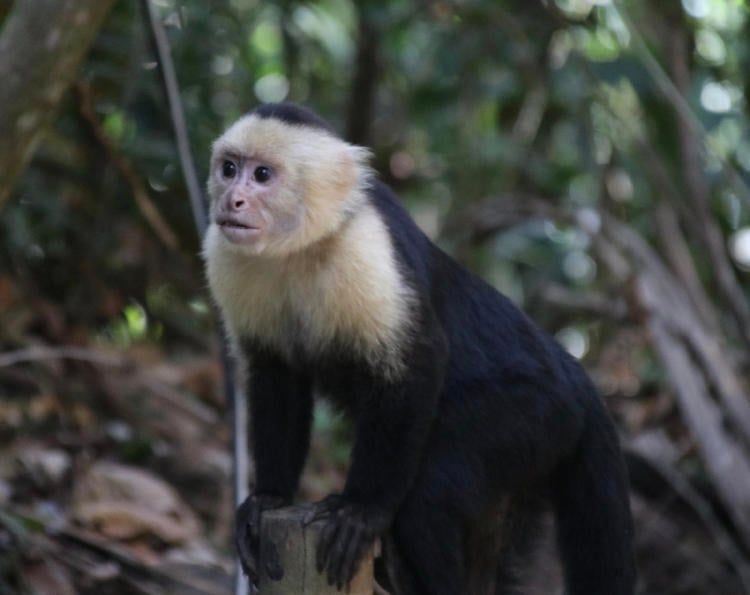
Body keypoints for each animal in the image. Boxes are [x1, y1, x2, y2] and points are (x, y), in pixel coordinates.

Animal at [202, 102, 636, 594]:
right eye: (229, 168)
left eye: (262, 175)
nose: (232, 200)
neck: (300, 246)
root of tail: (573, 373)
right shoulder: (225, 253)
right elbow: (276, 375)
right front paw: (269, 497)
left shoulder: (366, 249)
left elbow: (416, 364)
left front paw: (363, 510)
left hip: (539, 414)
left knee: (430, 492)